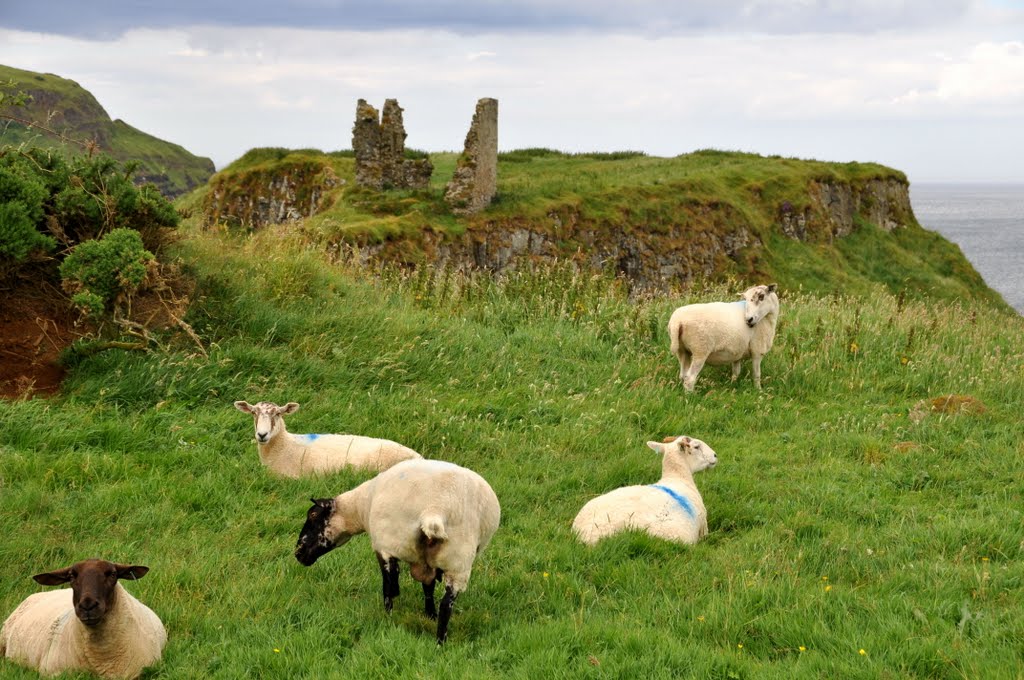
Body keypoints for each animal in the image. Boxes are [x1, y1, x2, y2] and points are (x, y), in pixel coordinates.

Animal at [292, 456, 499, 643]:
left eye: (313, 515)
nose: (298, 553)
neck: (361, 506)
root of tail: (435, 509)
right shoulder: (426, 562)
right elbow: (428, 587)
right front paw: (429, 614)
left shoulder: (384, 549)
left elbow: (391, 586)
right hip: (459, 558)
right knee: (447, 603)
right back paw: (441, 641)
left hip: (393, 542)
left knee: (393, 588)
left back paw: (392, 619)